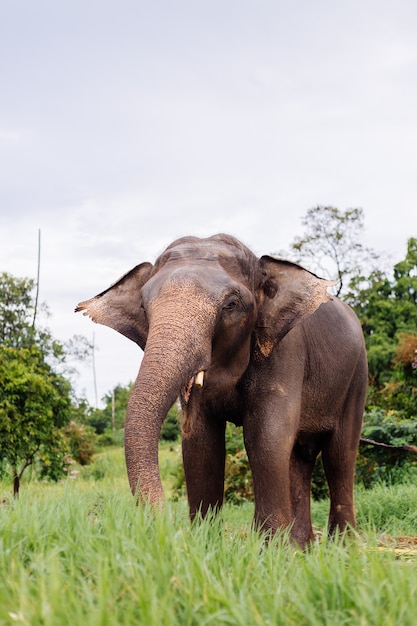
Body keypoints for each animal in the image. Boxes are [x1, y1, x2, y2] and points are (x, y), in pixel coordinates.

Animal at [76, 232, 366, 544]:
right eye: (143, 306)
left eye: (231, 305)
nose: (164, 523)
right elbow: (200, 444)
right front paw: (206, 544)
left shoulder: (286, 352)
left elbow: (266, 437)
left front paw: (269, 550)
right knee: (300, 456)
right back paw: (304, 548)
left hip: (358, 376)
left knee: (340, 454)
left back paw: (343, 547)